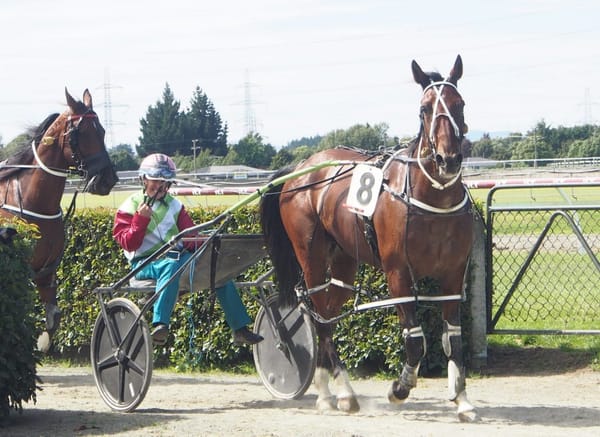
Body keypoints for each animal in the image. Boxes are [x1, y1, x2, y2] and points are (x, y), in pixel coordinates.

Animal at [0, 88, 118, 350]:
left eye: (103, 131)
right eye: (82, 133)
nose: (108, 179)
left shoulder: (45, 271)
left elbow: (53, 317)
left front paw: (42, 342)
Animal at [260, 56, 476, 420]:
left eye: (459, 104)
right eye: (424, 109)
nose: (447, 159)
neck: (433, 199)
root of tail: (301, 168)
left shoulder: (452, 275)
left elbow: (454, 339)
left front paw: (461, 398)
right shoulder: (398, 274)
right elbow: (415, 341)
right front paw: (399, 388)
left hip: (345, 262)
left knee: (329, 313)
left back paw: (330, 390)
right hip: (311, 257)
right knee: (319, 315)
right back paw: (338, 393)